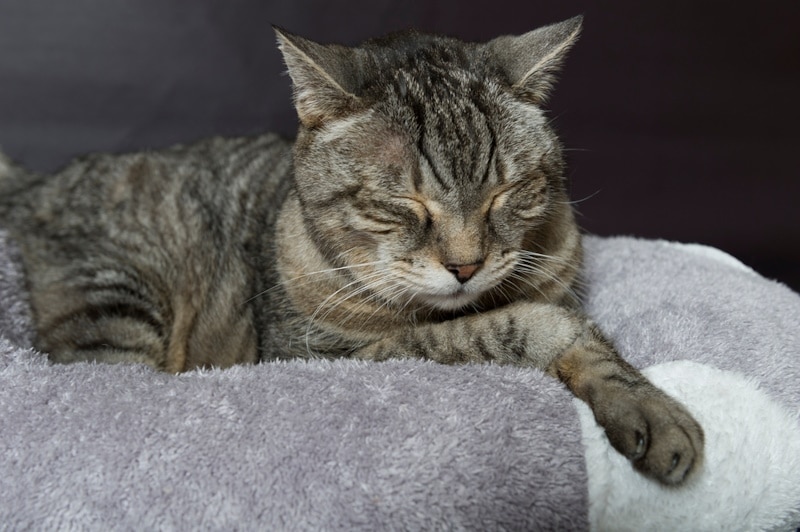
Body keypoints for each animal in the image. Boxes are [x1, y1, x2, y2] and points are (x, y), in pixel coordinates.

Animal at [0, 14, 700, 484]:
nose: (466, 264)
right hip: (117, 303)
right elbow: (513, 327)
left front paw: (641, 402)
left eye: (506, 192)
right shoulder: (327, 356)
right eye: (403, 203)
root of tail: (35, 182)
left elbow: (586, 339)